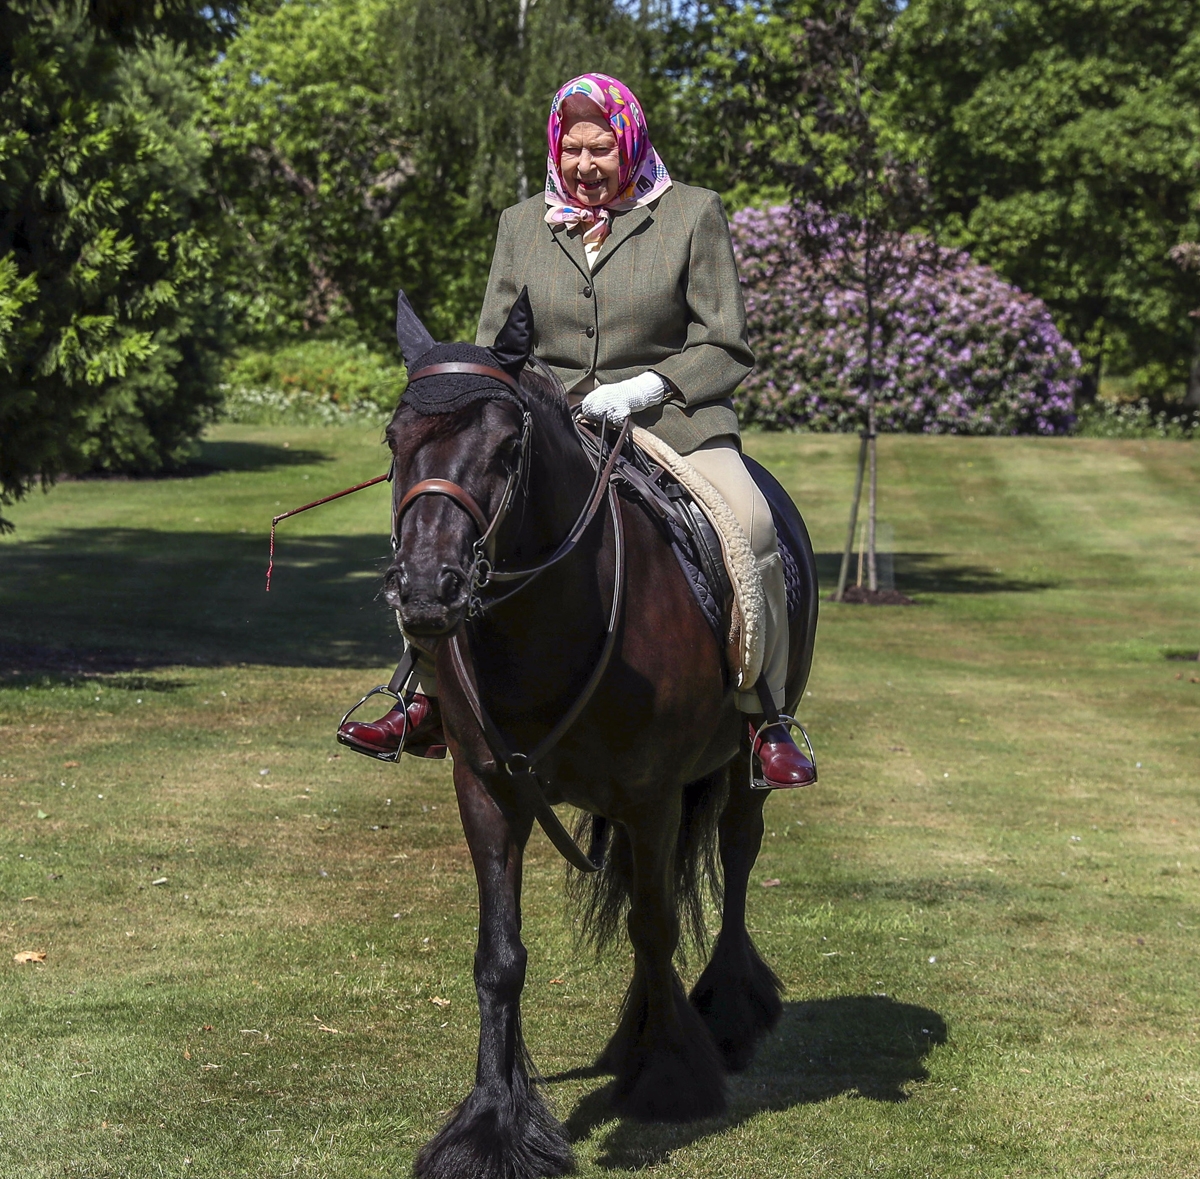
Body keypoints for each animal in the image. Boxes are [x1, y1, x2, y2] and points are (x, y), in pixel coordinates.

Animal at [384, 295, 816, 1179]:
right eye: (392, 439)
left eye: (507, 447)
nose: (426, 590)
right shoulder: (488, 788)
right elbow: (500, 956)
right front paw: (493, 1122)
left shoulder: (652, 794)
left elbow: (654, 926)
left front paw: (671, 1076)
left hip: (742, 767)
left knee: (736, 861)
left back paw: (725, 1010)